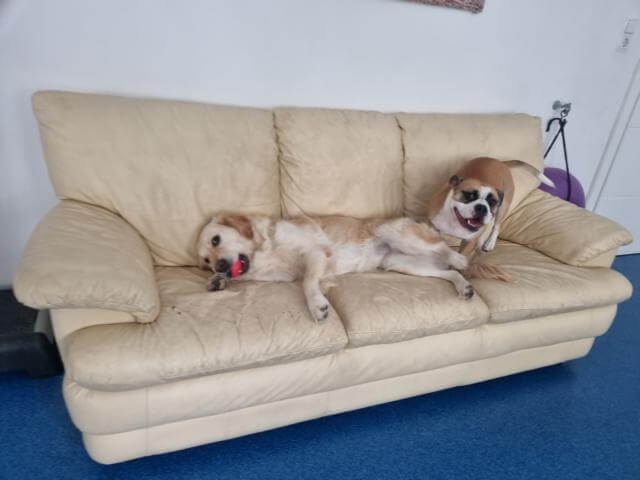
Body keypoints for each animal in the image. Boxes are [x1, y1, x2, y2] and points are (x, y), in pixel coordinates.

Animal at [197, 213, 474, 322]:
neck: (263, 251)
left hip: (399, 235)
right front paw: (218, 281)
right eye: (206, 261)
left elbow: (308, 282)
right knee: (448, 272)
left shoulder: (316, 252)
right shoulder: (283, 274)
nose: (220, 265)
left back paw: (459, 258)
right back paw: (464, 287)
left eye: (216, 240)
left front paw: (317, 305)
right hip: (402, 263)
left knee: (442, 247)